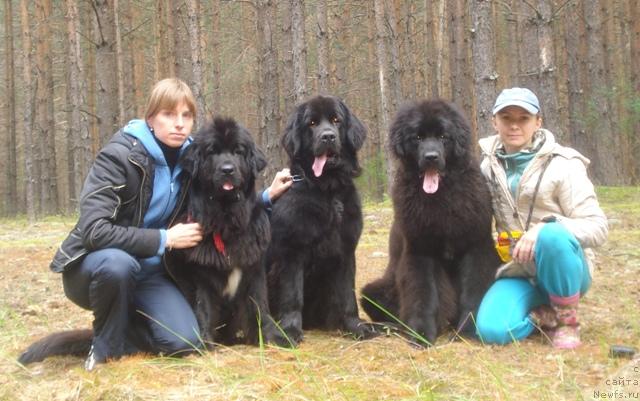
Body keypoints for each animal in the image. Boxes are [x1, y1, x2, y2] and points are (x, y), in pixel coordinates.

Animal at [164, 116, 286, 346]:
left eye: (238, 151)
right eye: (212, 151)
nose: (227, 169)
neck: (226, 219)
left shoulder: (254, 268)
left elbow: (259, 305)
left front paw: (267, 338)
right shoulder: (201, 275)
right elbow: (203, 308)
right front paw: (204, 342)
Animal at [266, 95, 376, 346]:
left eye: (336, 120)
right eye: (312, 123)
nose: (328, 136)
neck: (327, 189)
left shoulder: (346, 250)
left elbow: (347, 295)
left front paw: (355, 326)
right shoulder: (291, 252)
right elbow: (292, 295)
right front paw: (290, 331)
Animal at [360, 99, 500, 344]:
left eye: (444, 136)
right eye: (417, 137)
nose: (431, 157)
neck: (441, 200)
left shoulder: (476, 247)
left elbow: (473, 291)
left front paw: (468, 330)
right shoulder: (420, 250)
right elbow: (424, 293)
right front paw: (420, 333)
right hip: (374, 290)